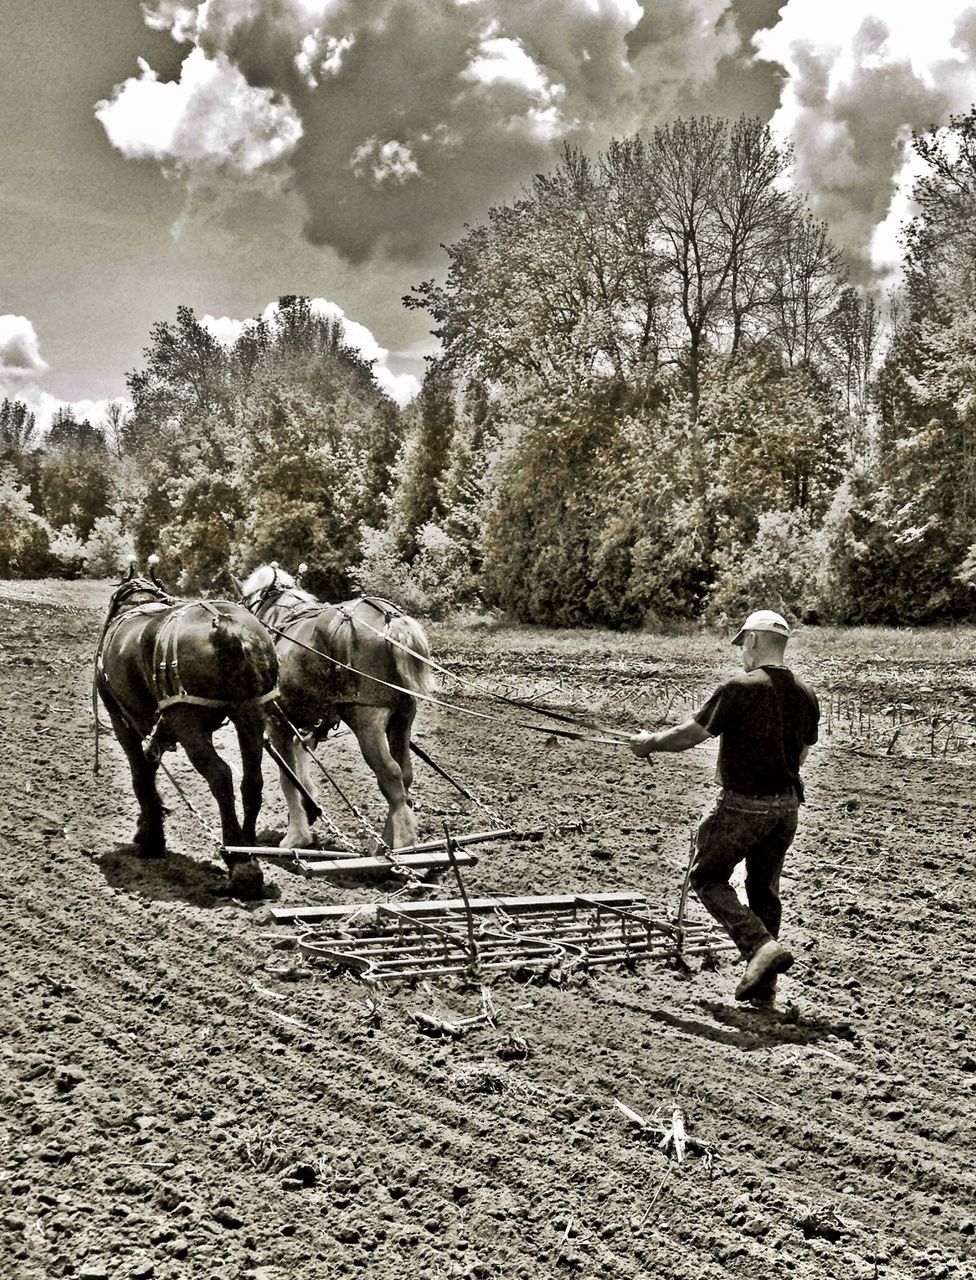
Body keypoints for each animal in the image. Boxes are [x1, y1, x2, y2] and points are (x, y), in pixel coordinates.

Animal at [96, 565, 277, 896]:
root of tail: (227, 628)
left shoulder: (123, 721)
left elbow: (141, 777)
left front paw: (151, 839)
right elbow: (150, 767)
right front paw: (147, 828)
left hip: (187, 723)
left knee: (220, 776)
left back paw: (239, 863)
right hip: (251, 714)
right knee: (252, 781)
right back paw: (248, 850)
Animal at [238, 563, 430, 849]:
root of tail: (389, 616)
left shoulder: (277, 721)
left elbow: (288, 778)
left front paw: (296, 835)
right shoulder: (306, 724)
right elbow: (301, 763)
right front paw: (309, 809)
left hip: (365, 717)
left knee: (390, 775)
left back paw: (403, 846)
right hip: (403, 716)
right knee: (404, 774)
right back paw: (383, 844)